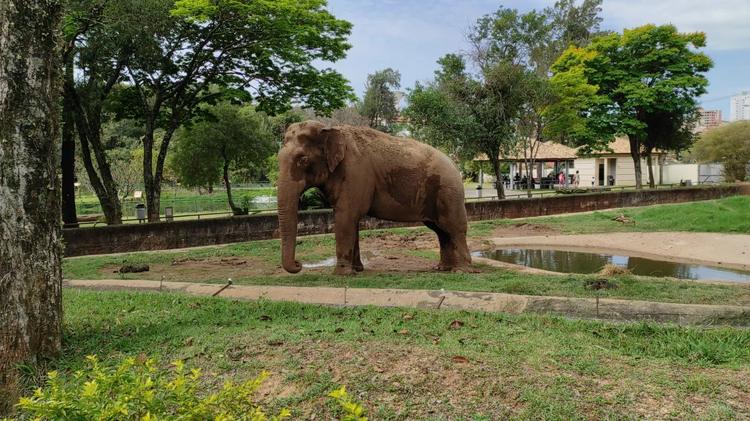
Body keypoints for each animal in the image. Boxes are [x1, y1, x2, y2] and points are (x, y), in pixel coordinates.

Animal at [278, 121, 471, 275]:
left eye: (302, 159)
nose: (299, 264)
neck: (330, 127)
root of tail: (455, 164)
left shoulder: (354, 173)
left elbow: (345, 217)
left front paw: (341, 274)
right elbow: (351, 221)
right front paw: (357, 270)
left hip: (448, 192)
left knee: (453, 228)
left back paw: (460, 270)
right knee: (440, 230)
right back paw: (443, 268)